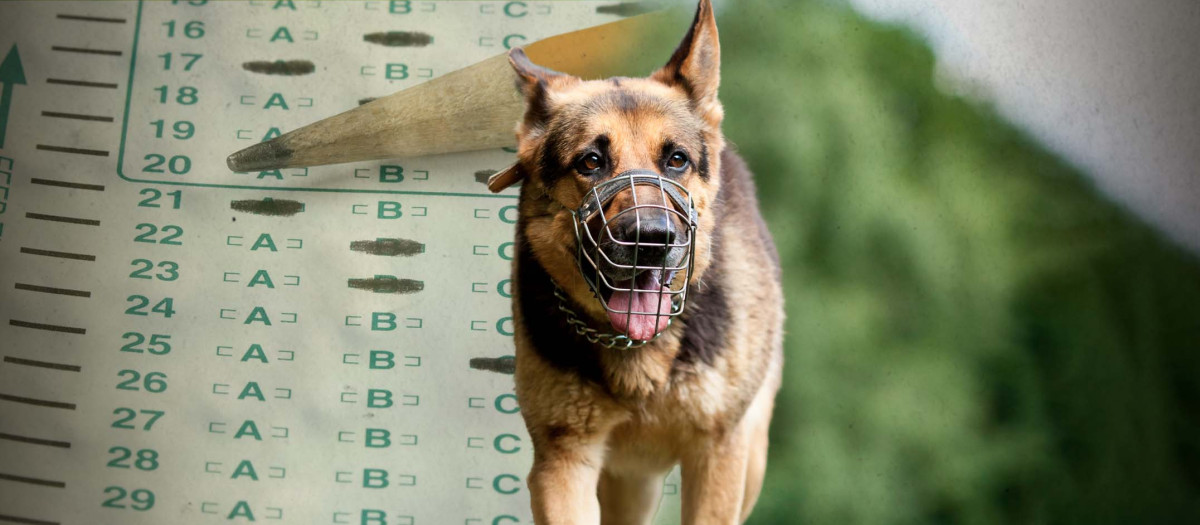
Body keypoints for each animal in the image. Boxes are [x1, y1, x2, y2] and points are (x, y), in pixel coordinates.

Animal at [489, 2, 787, 522]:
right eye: (590, 161)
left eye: (676, 160)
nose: (650, 238)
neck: (638, 355)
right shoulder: (563, 461)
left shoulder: (719, 455)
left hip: (747, 459)